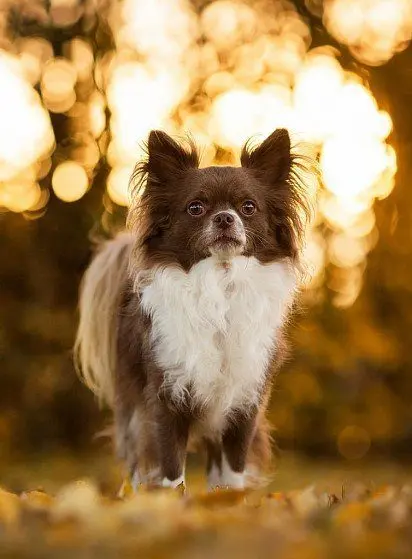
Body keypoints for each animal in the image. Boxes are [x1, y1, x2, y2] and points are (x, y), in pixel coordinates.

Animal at [74, 129, 314, 492]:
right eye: (196, 208)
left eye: (248, 207)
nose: (225, 217)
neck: (220, 283)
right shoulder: (165, 399)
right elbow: (172, 471)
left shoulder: (244, 403)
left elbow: (233, 470)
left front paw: (230, 500)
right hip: (134, 409)